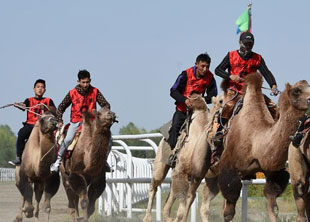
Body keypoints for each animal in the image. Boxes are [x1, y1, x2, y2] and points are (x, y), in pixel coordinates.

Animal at [142, 94, 224, 222]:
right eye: (219, 101)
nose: (218, 138)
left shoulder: (198, 176)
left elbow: (191, 198)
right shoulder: (180, 171)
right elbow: (182, 202)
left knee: (172, 195)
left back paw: (167, 217)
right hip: (161, 163)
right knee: (154, 186)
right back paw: (147, 218)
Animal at [200, 73, 310, 222]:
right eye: (297, 90)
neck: (255, 141)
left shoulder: (272, 171)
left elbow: (272, 206)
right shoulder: (228, 165)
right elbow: (228, 213)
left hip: (212, 176)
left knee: (206, 198)